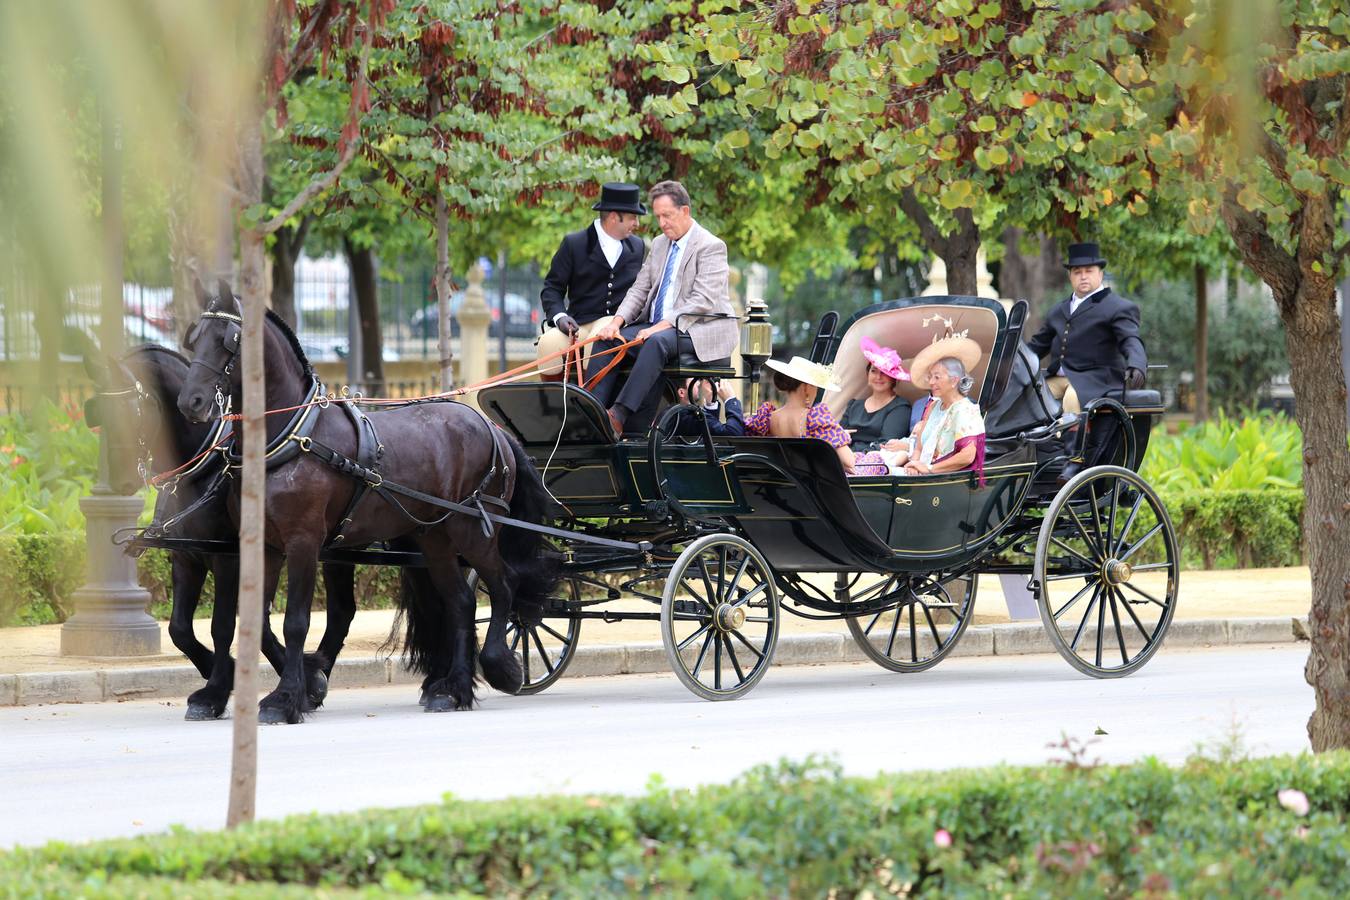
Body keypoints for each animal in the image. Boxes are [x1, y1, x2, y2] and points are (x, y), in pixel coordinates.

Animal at [81, 341, 351, 723]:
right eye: (99, 417)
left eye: (133, 411)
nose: (120, 482)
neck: (205, 467)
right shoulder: (186, 557)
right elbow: (180, 628)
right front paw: (221, 674)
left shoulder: (229, 559)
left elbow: (223, 626)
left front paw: (218, 690)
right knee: (343, 611)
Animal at [176, 283, 556, 723]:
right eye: (193, 338)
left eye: (229, 340)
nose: (191, 402)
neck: (293, 438)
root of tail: (490, 425)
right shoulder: (264, 546)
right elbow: (254, 621)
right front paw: (301, 686)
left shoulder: (303, 542)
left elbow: (295, 623)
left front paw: (285, 698)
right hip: (435, 537)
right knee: (461, 603)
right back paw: (454, 689)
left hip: (472, 530)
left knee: (503, 586)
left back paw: (498, 666)